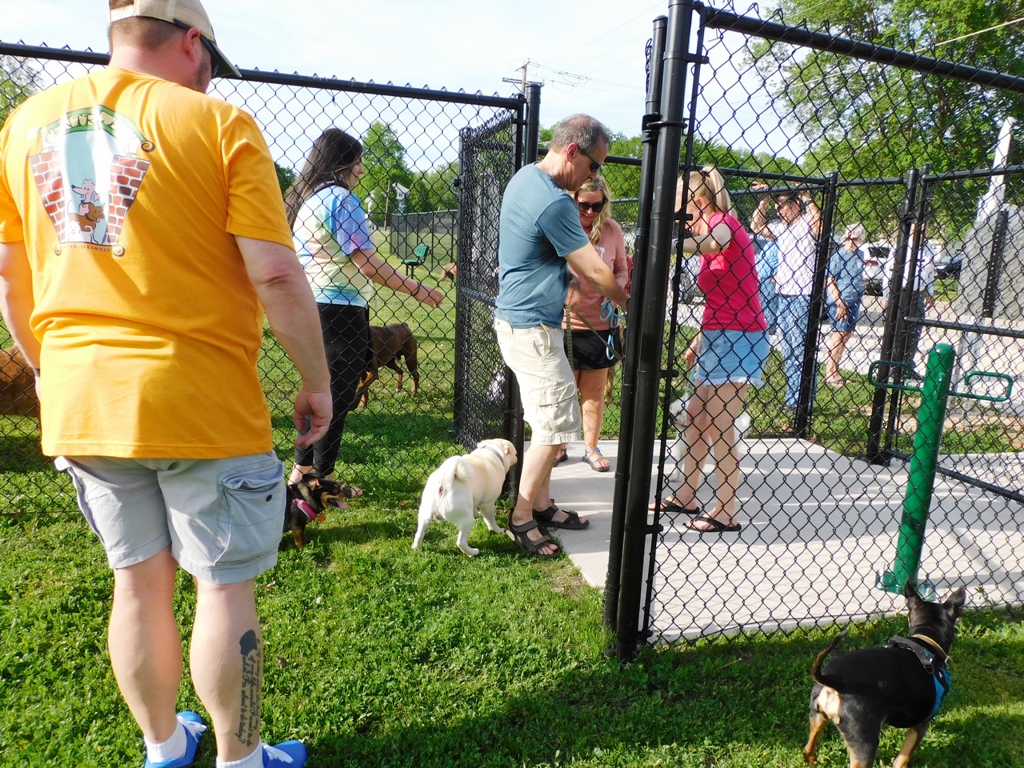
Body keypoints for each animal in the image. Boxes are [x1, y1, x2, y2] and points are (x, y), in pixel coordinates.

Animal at [804, 584, 967, 768]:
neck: (926, 642)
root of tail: (834, 682)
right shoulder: (920, 726)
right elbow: (902, 758)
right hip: (865, 743)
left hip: (817, 717)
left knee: (808, 748)